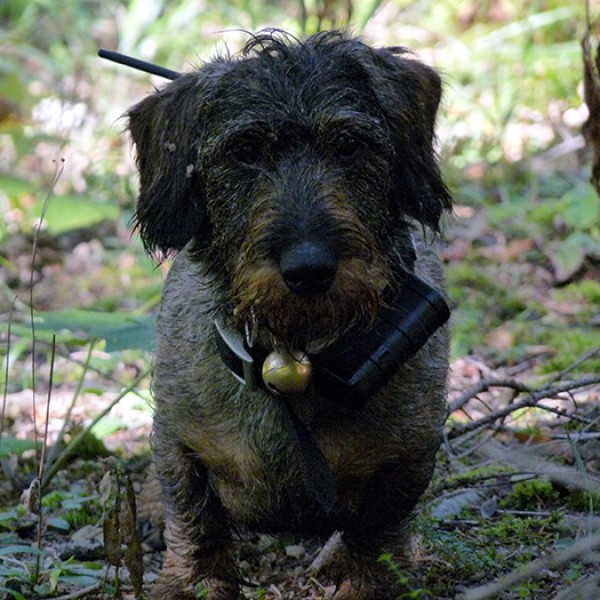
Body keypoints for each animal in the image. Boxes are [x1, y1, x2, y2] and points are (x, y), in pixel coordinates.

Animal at [129, 29, 452, 600]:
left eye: (349, 145)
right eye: (244, 152)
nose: (309, 269)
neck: (293, 352)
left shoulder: (409, 457)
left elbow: (377, 529)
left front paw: (369, 583)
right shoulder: (177, 441)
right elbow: (194, 516)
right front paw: (192, 581)